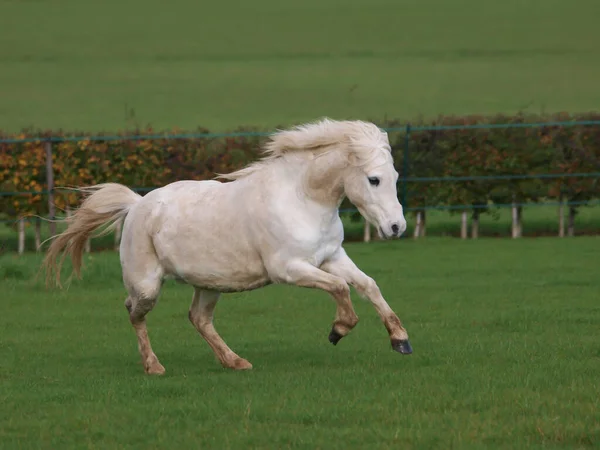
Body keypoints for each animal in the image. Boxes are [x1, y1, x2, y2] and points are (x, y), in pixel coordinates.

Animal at [43, 118, 412, 374]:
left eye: (394, 177)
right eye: (374, 179)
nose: (397, 227)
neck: (301, 199)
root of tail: (136, 205)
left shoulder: (331, 256)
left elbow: (368, 285)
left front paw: (401, 340)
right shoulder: (289, 269)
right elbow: (340, 288)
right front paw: (338, 331)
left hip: (210, 283)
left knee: (198, 318)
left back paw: (235, 361)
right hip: (147, 285)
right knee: (134, 311)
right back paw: (154, 366)